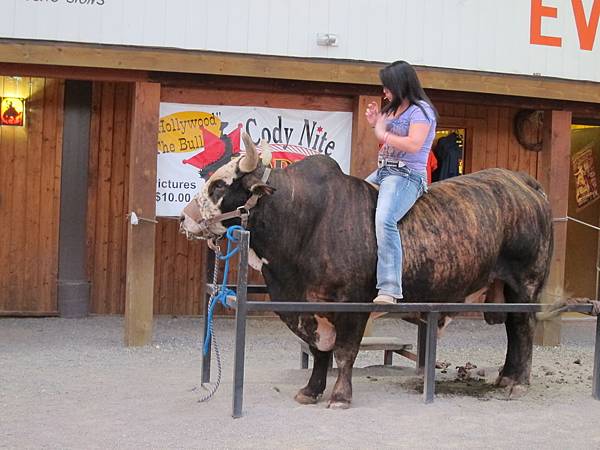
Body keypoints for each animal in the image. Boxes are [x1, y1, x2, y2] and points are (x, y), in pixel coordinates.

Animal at [180, 133, 552, 408]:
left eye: (219, 186)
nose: (185, 218)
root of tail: (521, 181)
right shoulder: (310, 307)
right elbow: (321, 352)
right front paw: (311, 390)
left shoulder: (352, 304)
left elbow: (344, 353)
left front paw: (340, 396)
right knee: (513, 330)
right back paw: (505, 376)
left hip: (525, 284)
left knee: (523, 328)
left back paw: (518, 382)